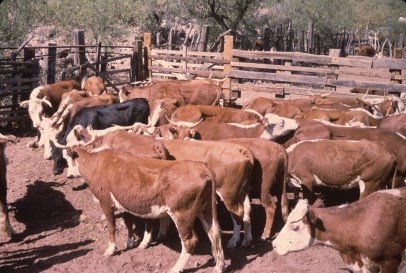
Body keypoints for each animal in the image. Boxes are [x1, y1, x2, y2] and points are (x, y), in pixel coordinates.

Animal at [66, 147, 225, 272]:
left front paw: (110, 250)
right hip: (206, 209)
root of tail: (203, 168)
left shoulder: (105, 202)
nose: (67, 175)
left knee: (190, 240)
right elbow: (129, 221)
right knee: (214, 233)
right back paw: (219, 266)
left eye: (66, 160)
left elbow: (111, 227)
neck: (96, 165)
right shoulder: (125, 201)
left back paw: (176, 268)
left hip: (182, 213)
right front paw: (131, 242)